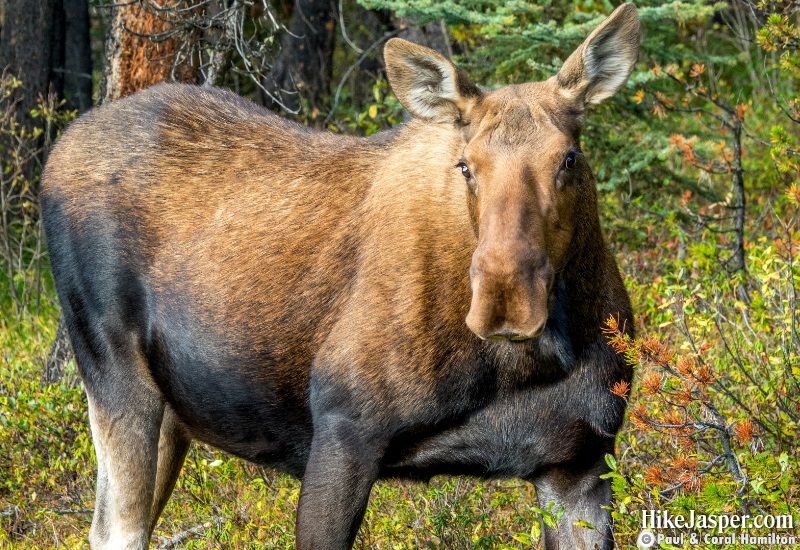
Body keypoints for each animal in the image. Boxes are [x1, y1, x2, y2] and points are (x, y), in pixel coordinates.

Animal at [42, 2, 636, 548]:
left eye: (569, 159)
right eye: (466, 165)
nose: (506, 298)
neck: (527, 366)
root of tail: (59, 149)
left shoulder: (579, 464)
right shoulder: (343, 430)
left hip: (175, 411)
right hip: (111, 366)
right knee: (116, 527)